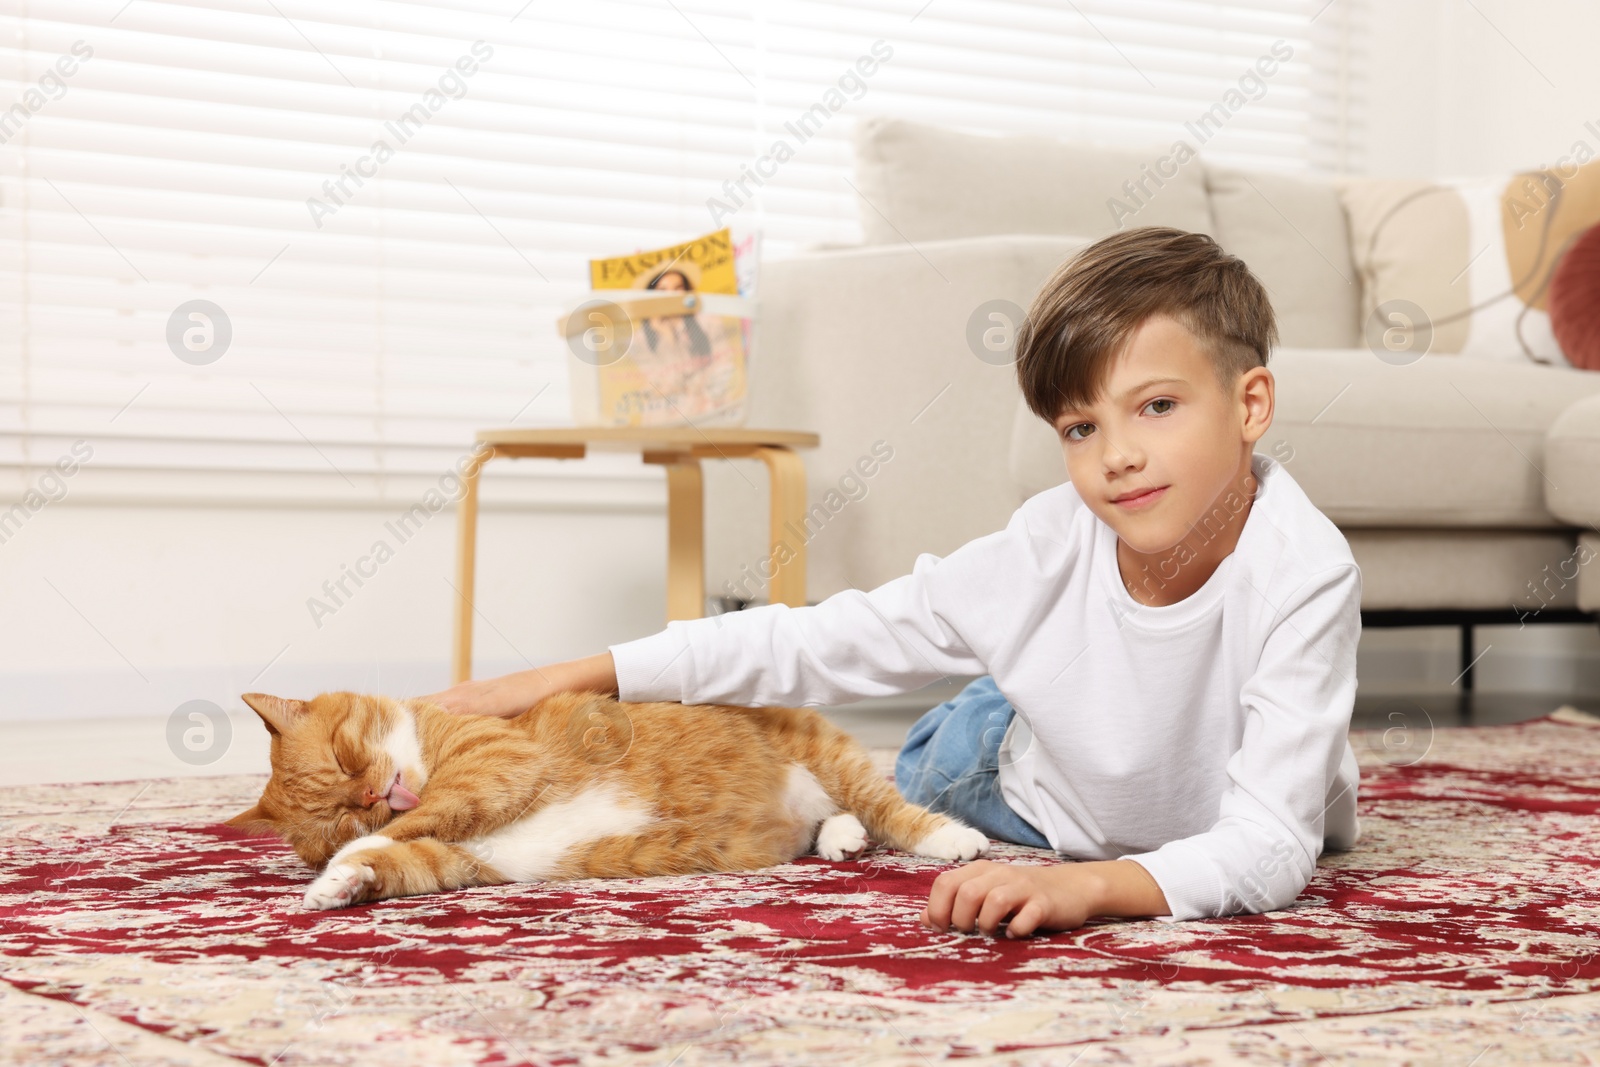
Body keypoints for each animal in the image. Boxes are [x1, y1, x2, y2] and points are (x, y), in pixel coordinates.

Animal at [225, 694, 985, 908]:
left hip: (830, 756)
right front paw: (340, 882)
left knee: (890, 808)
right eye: (339, 808)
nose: (374, 793)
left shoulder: (499, 762)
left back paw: (953, 841)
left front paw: (345, 864)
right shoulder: (458, 861)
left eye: (345, 758)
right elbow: (402, 858)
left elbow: (429, 810)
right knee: (837, 817)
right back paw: (838, 837)